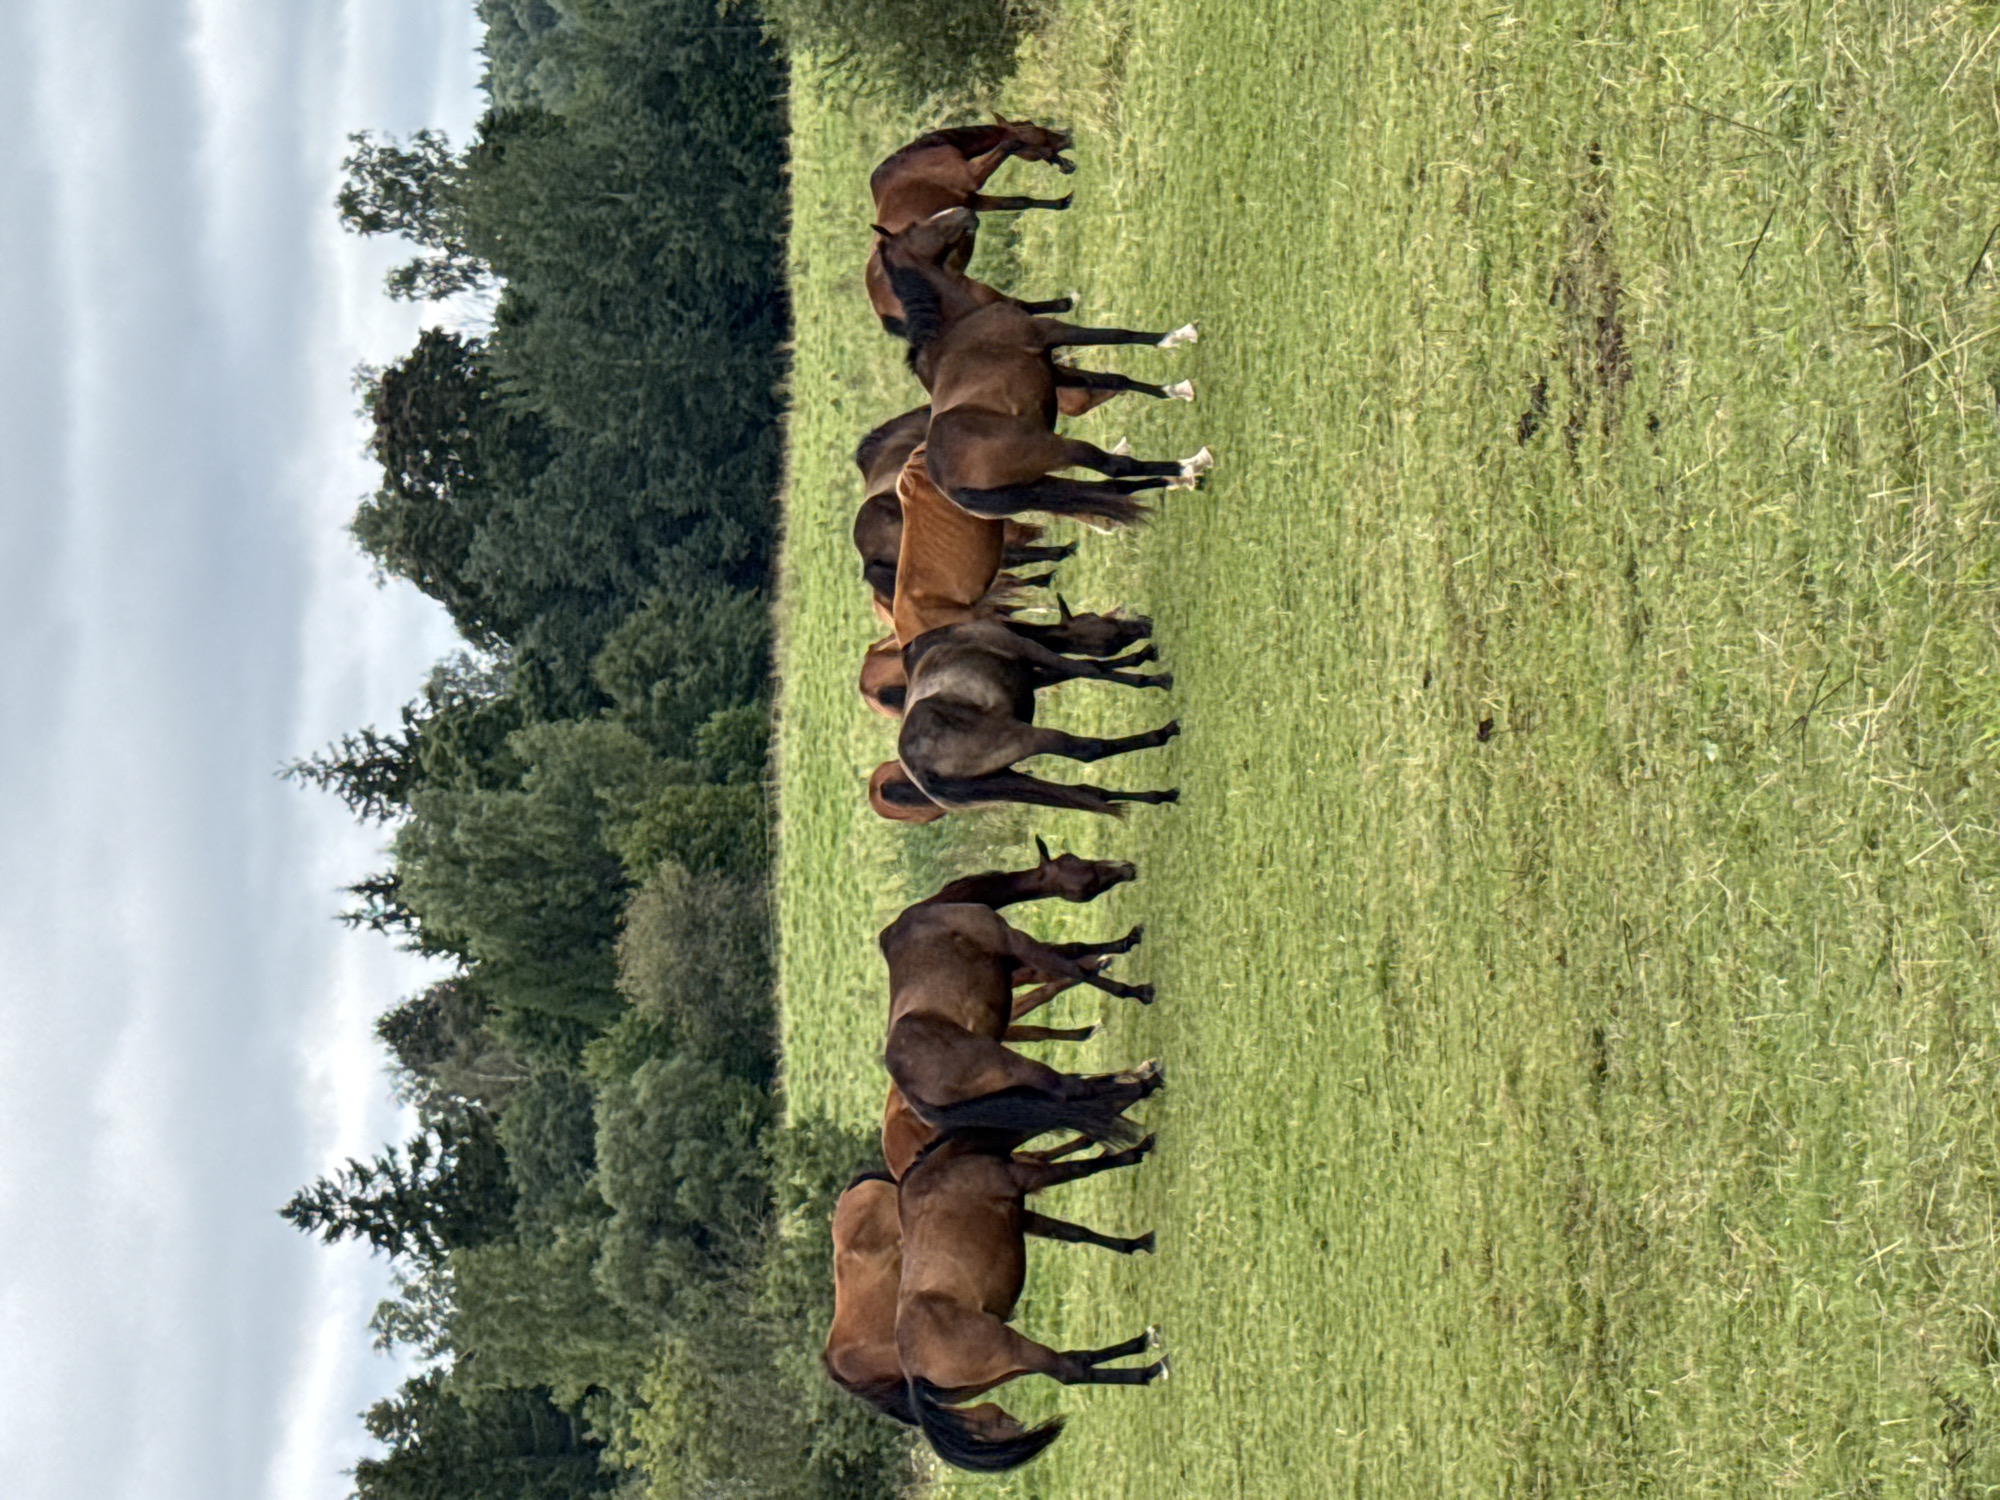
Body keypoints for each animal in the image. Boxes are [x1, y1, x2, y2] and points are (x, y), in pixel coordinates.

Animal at [866, 119, 1079, 335]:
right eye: (1037, 130)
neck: (920, 156)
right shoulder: (975, 175)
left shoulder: (977, 200)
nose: (1068, 137)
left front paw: (1062, 202)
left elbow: (1021, 201)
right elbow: (1010, 143)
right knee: (1017, 305)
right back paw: (1066, 303)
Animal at [873, 618, 1178, 821]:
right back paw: (1162, 735)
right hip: (1025, 736)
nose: (1143, 623)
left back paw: (1160, 795)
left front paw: (1142, 656)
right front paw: (1155, 678)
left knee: (1086, 793)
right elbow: (1092, 668)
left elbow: (1088, 667)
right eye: (1106, 622)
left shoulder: (1033, 675)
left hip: (1005, 777)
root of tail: (919, 771)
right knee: (1086, 750)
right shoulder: (1029, 650)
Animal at [897, 1131, 1166, 1471]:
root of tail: (910, 1374)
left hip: (1011, 1367)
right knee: (1070, 1370)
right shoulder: (1026, 1177)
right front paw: (1138, 1149)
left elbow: (1076, 1232)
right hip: (1014, 1349)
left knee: (1076, 1359)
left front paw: (1137, 1243)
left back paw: (1143, 1342)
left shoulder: (1022, 1211)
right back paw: (1150, 1368)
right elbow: (1084, 1169)